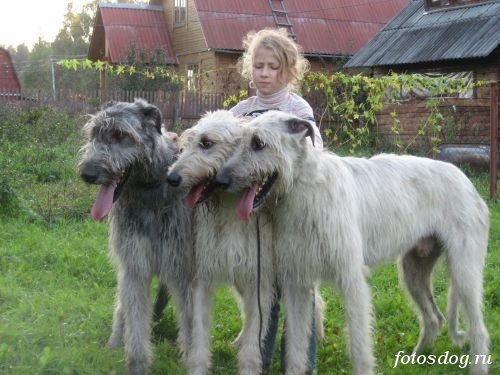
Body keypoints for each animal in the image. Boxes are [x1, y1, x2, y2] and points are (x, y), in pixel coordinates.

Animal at [78, 100, 193, 375]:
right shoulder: (134, 266)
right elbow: (136, 321)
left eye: (121, 135)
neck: (150, 191)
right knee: (124, 306)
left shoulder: (181, 269)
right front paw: (137, 364)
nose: (87, 173)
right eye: (93, 134)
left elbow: (191, 325)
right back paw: (114, 341)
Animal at [217, 111, 490, 375]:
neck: (306, 189)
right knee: (434, 318)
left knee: (479, 328)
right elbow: (295, 345)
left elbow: (359, 345)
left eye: (258, 143)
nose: (220, 180)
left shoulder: (352, 280)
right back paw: (414, 359)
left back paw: (478, 367)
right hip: (414, 269)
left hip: (464, 270)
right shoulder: (297, 282)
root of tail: (466, 180)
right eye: (238, 142)